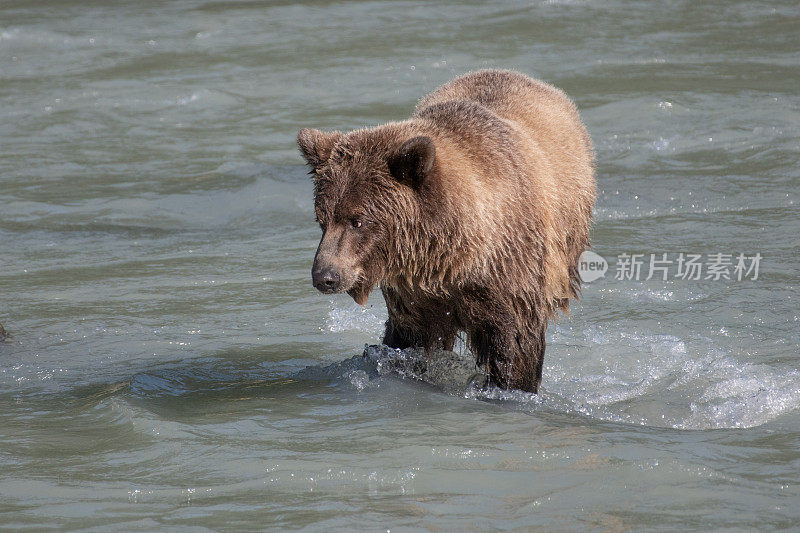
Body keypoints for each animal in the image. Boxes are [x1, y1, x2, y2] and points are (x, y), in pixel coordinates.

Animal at [300, 69, 592, 390]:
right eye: (322, 218)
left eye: (358, 220)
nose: (325, 277)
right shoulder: (415, 293)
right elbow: (408, 339)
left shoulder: (508, 270)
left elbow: (515, 344)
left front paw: (510, 384)